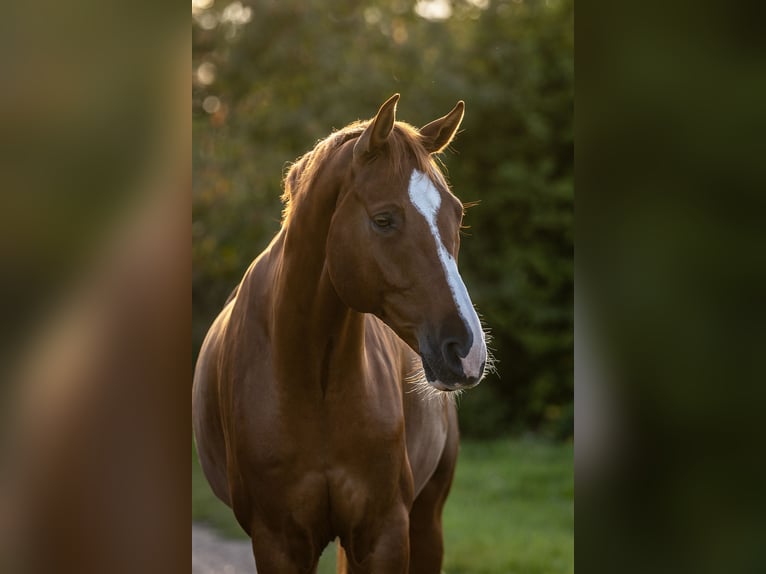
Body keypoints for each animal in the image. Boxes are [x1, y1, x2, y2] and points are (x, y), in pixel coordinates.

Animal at [195, 92, 488, 572]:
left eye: (456, 213)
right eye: (384, 220)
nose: (467, 350)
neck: (314, 381)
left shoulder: (384, 532)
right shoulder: (277, 541)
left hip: (426, 521)